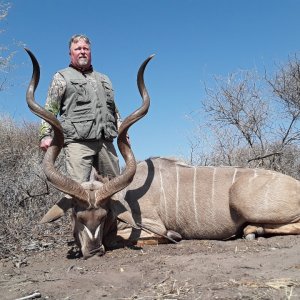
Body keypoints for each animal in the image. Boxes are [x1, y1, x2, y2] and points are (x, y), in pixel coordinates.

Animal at [25, 49, 300, 258]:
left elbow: (122, 238)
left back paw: (252, 230)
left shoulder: (151, 225)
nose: (93, 251)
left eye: (103, 215)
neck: (124, 195)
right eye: (76, 214)